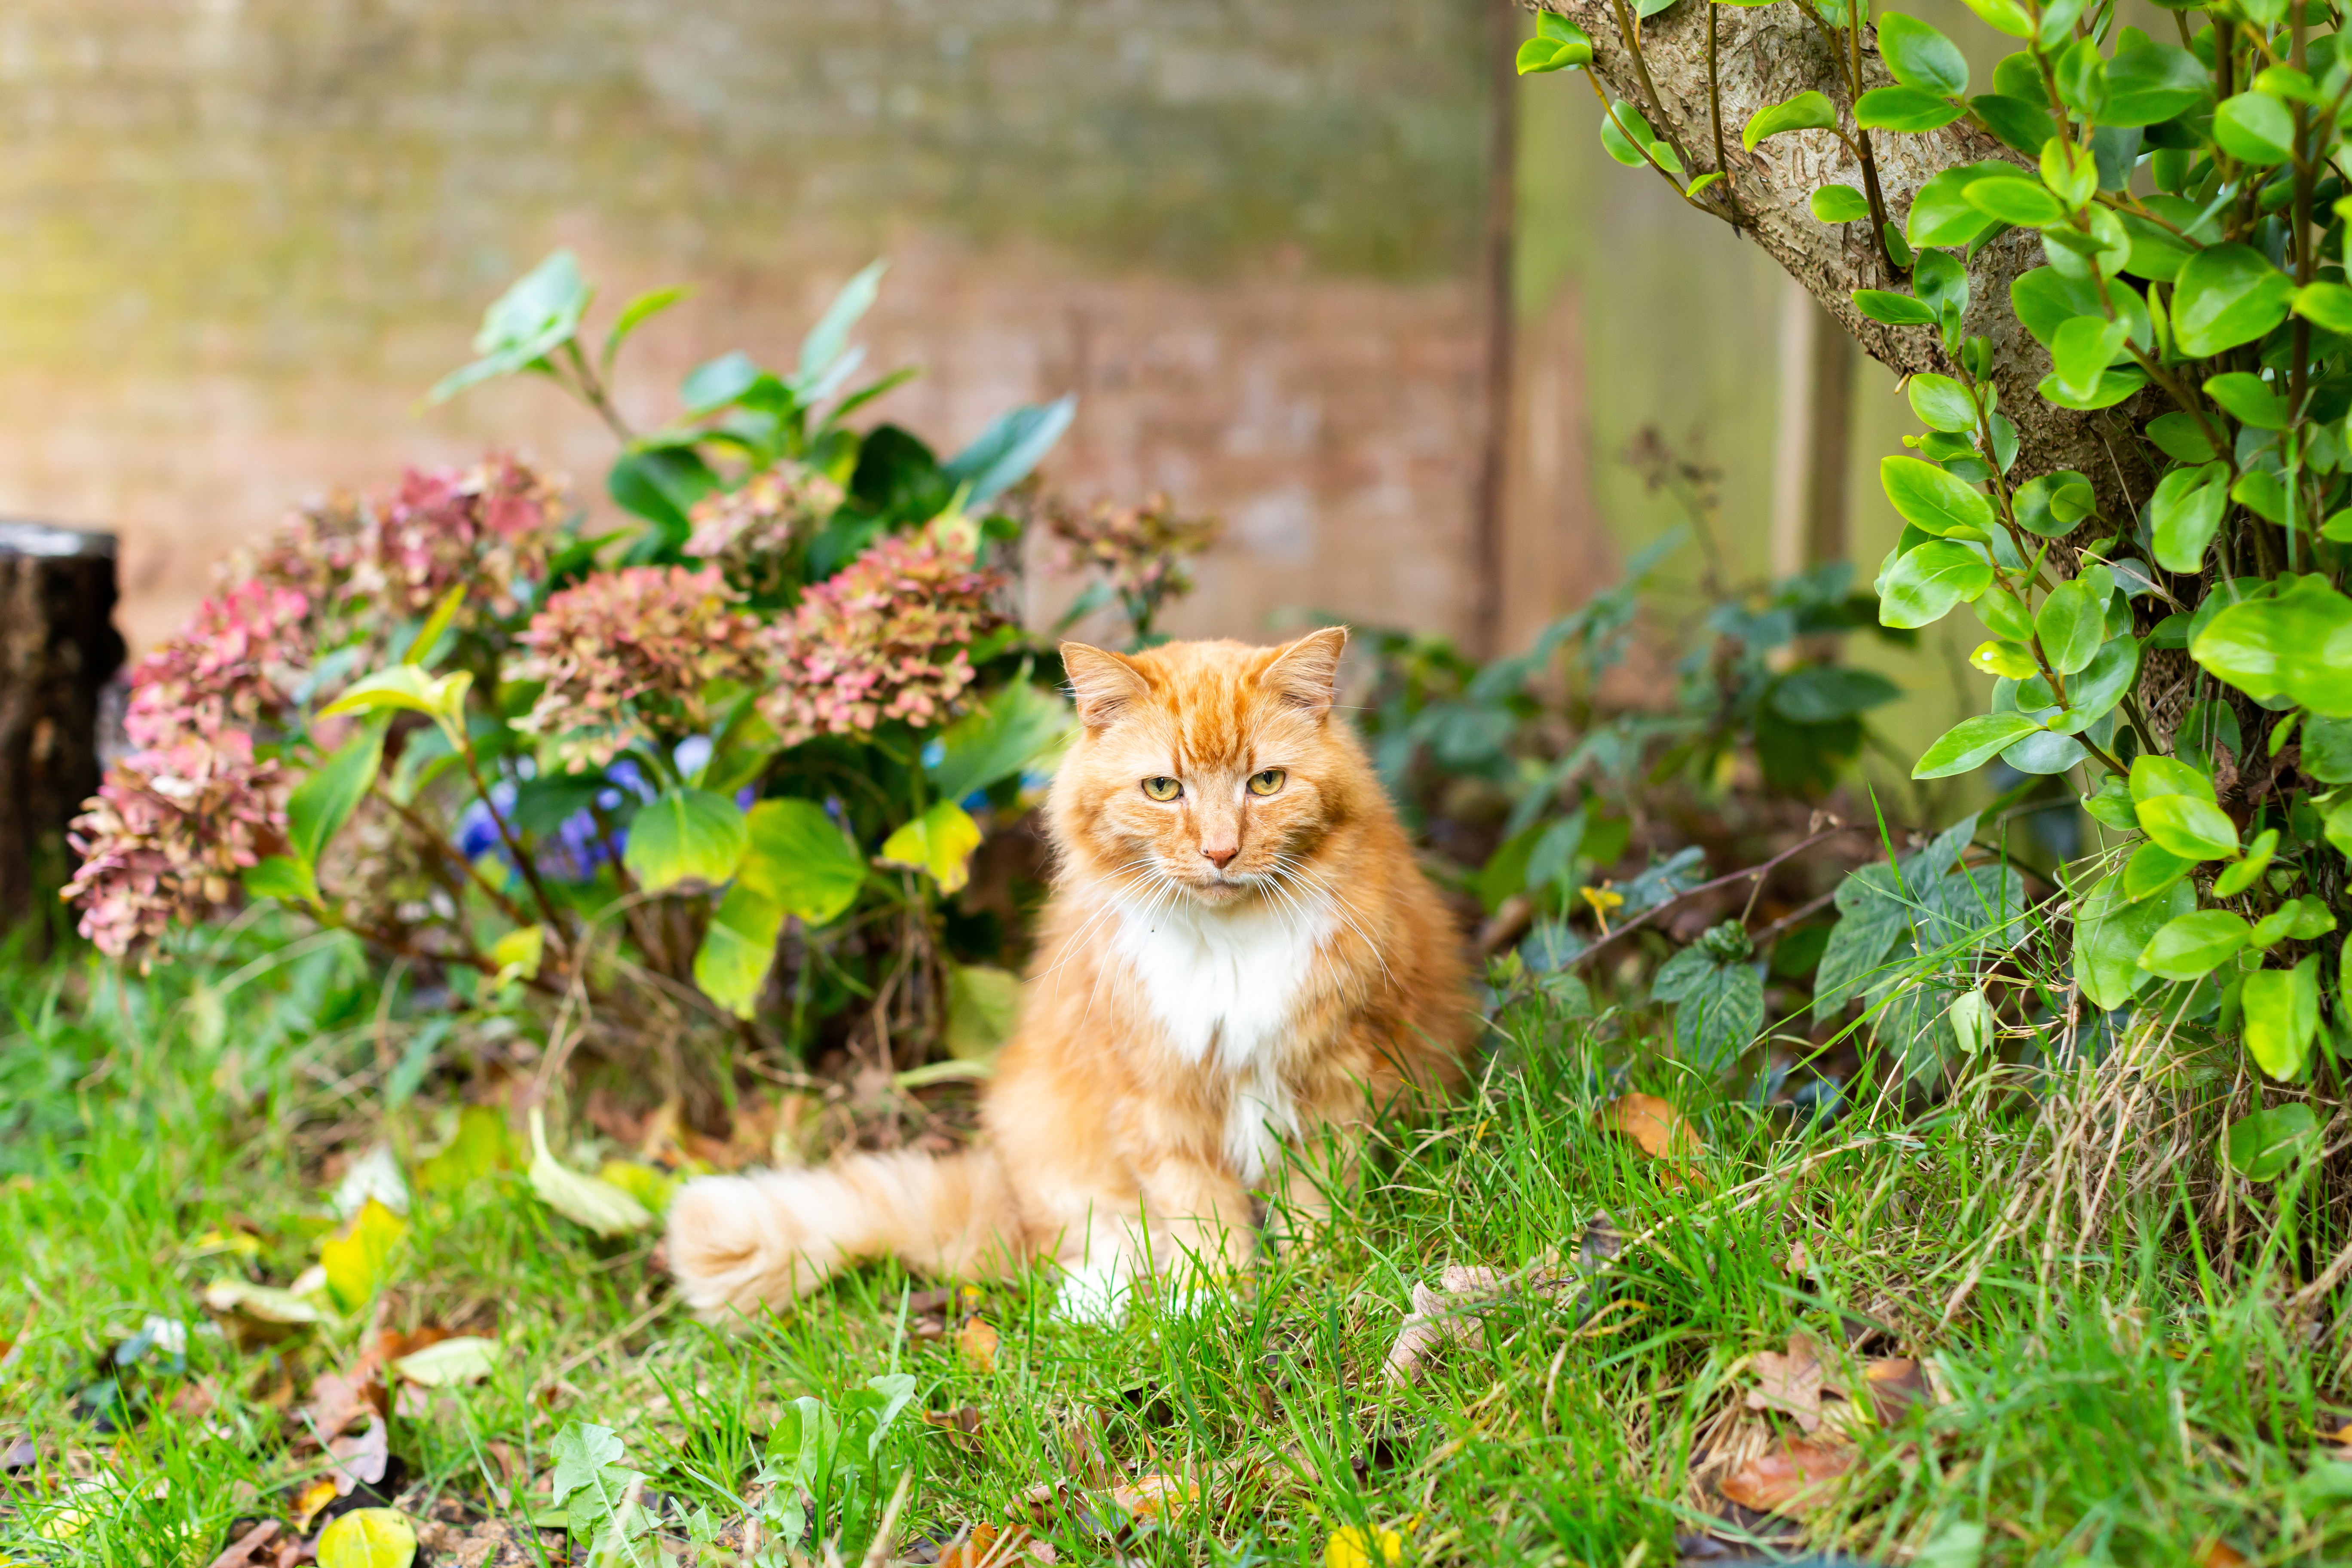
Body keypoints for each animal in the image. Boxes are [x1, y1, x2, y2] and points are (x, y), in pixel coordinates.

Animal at [663, 630, 1467, 1316]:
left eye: (1266, 783)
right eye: (1163, 789)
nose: (1220, 852)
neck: (1228, 945)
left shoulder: (1334, 1080)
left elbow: (1315, 1206)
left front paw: (1314, 1281)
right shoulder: (1159, 1102)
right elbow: (1205, 1223)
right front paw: (1220, 1307)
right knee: (1087, 1244)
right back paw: (1110, 1308)